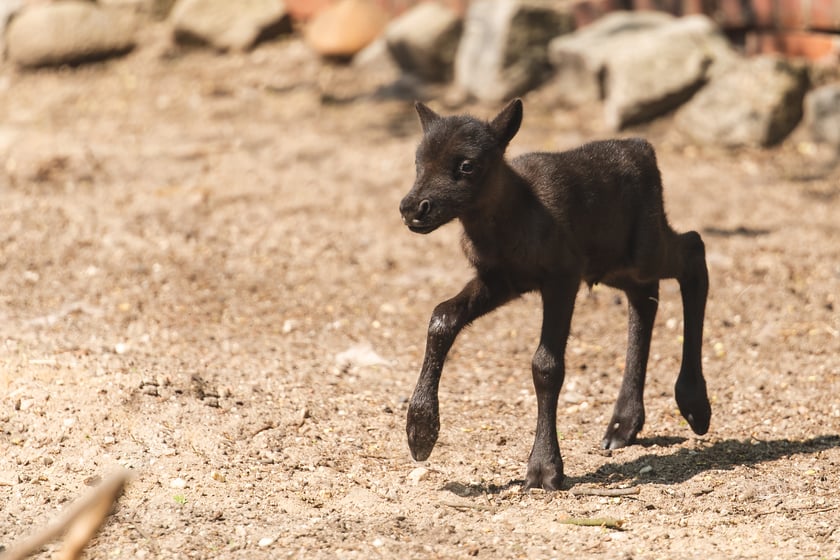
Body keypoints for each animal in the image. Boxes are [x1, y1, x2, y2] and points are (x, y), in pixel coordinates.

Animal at [398, 99, 708, 490]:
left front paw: (544, 469)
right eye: (418, 162)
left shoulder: (563, 274)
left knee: (693, 249)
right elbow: (442, 317)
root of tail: (644, 150)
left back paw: (695, 405)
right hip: (613, 264)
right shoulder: (500, 280)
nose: (412, 208)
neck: (513, 218)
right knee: (644, 296)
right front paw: (420, 433)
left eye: (467, 165)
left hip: (644, 247)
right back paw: (623, 425)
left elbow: (546, 365)